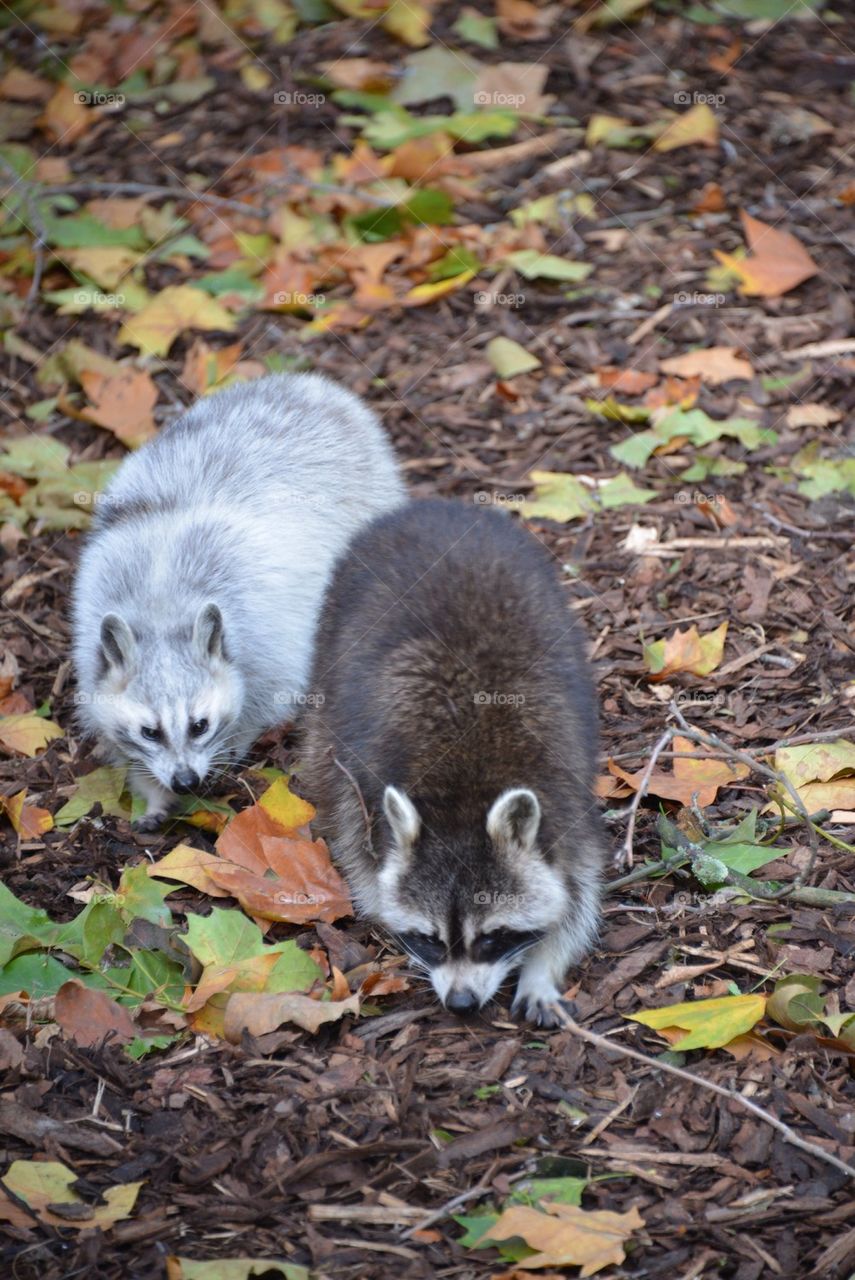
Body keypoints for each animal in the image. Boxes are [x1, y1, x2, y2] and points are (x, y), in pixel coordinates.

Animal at [72, 373, 405, 829]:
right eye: (149, 732)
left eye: (199, 725)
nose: (185, 781)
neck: (162, 610)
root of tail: (313, 386)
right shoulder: (91, 622)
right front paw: (151, 789)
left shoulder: (267, 637)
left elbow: (270, 696)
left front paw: (237, 736)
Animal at [296, 498, 606, 1025]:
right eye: (431, 940)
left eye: (493, 938)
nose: (461, 1004)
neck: (464, 796)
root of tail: (432, 505)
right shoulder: (362, 785)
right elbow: (362, 858)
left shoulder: (565, 798)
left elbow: (578, 893)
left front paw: (542, 966)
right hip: (330, 638)